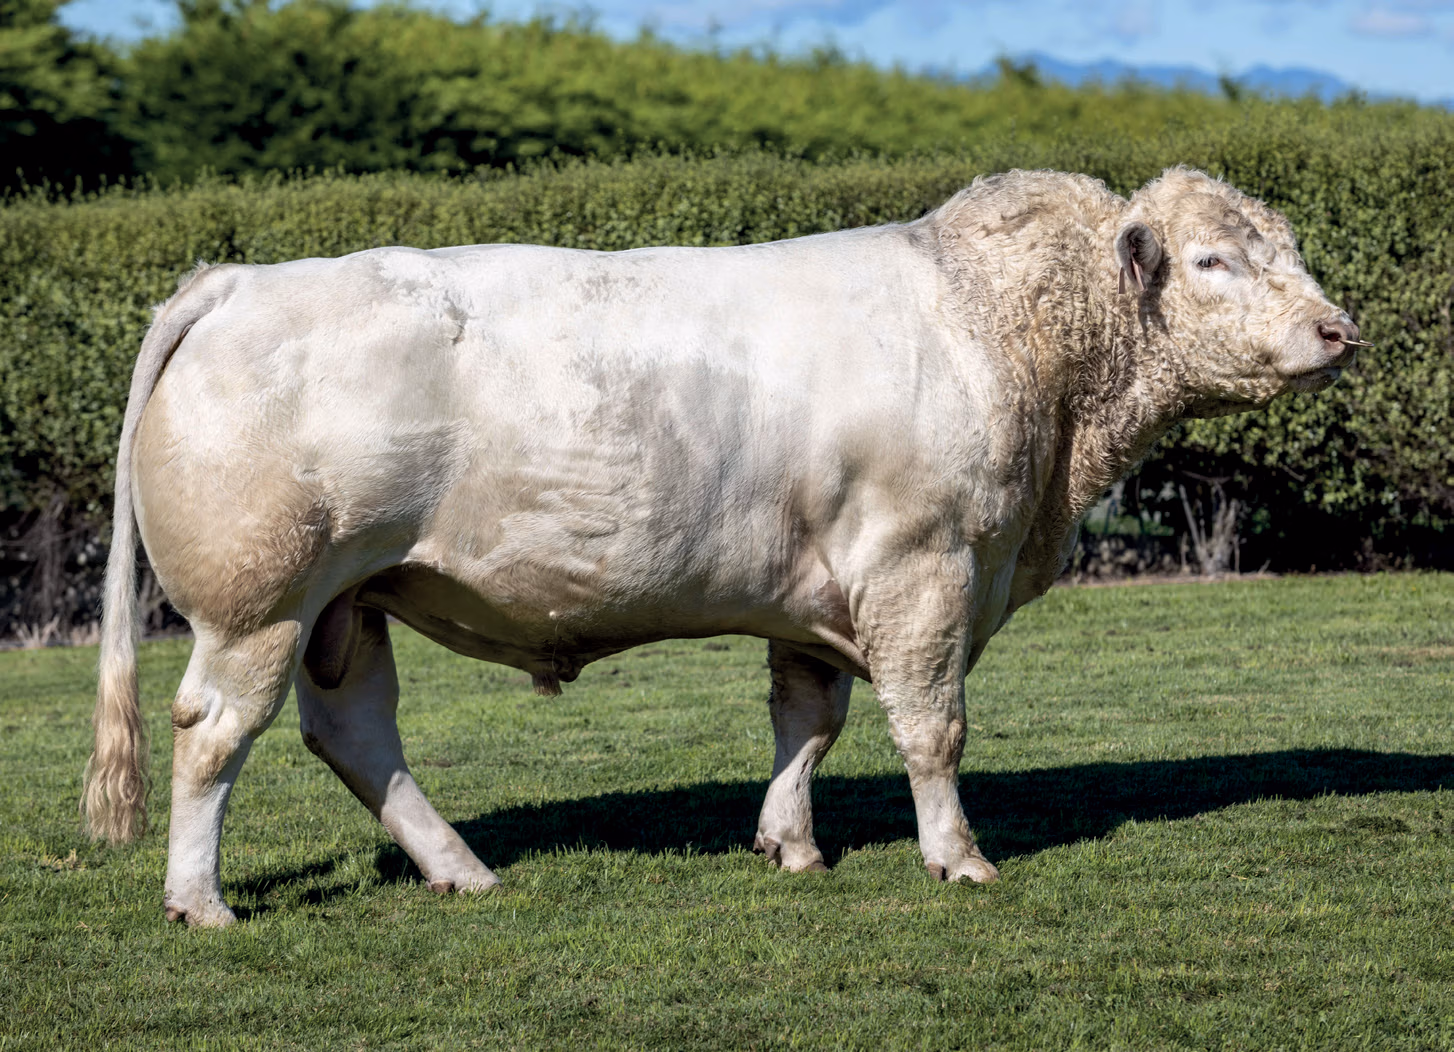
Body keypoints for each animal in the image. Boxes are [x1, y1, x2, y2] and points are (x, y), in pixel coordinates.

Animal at [82, 167, 1360, 926]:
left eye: (1288, 245)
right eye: (1211, 260)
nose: (1336, 328)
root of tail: (237, 279)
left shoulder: (821, 587)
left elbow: (809, 720)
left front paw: (788, 843)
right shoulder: (924, 564)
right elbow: (931, 725)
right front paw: (956, 855)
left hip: (349, 602)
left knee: (354, 732)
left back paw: (461, 867)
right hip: (261, 599)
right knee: (214, 731)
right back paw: (200, 901)